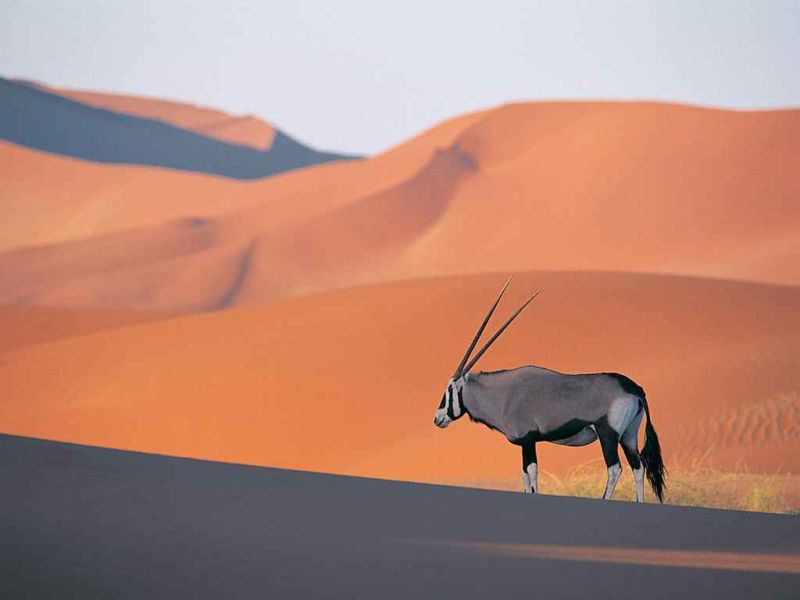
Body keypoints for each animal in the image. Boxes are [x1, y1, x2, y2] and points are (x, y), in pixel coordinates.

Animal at [433, 279, 666, 502]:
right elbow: (524, 476)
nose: (438, 418)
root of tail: (635, 388)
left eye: (449, 389)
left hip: (607, 434)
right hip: (628, 435)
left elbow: (532, 474)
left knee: (615, 468)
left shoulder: (528, 439)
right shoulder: (524, 444)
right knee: (638, 467)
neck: (504, 394)